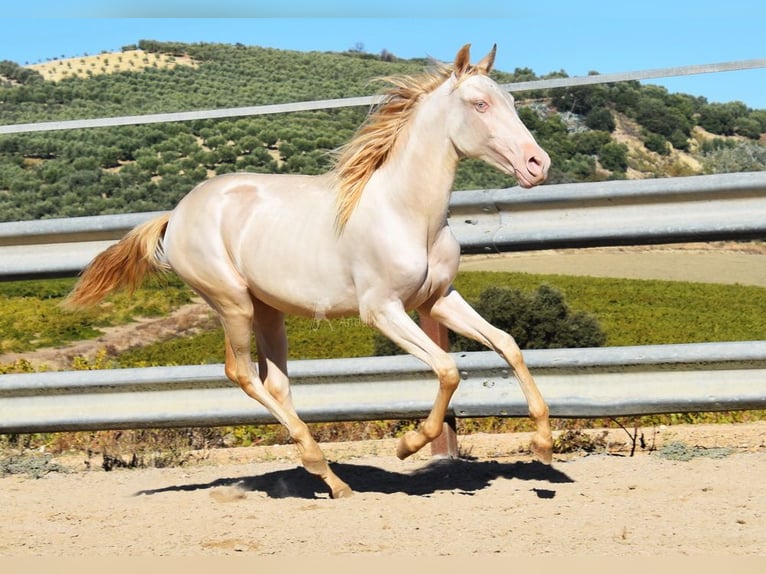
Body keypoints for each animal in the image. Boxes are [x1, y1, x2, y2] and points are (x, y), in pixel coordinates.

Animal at [65, 44, 553, 498]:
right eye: (480, 104)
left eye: (510, 100)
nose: (538, 164)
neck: (408, 213)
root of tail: (176, 214)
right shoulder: (383, 310)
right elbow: (449, 369)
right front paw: (408, 444)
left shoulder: (438, 300)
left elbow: (508, 345)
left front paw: (544, 445)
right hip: (232, 303)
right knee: (241, 373)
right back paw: (324, 467)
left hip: (268, 309)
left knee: (277, 383)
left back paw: (331, 479)